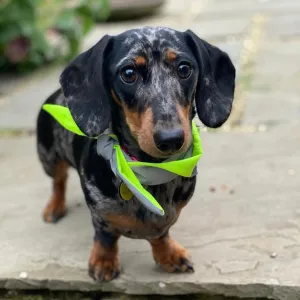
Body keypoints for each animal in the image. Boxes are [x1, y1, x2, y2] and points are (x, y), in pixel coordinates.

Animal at [36, 25, 236, 282]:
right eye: (128, 73)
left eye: (184, 68)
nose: (171, 139)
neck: (149, 170)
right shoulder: (101, 214)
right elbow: (106, 236)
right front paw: (104, 261)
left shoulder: (166, 218)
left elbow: (161, 233)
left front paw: (168, 254)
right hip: (49, 157)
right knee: (58, 181)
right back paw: (54, 207)